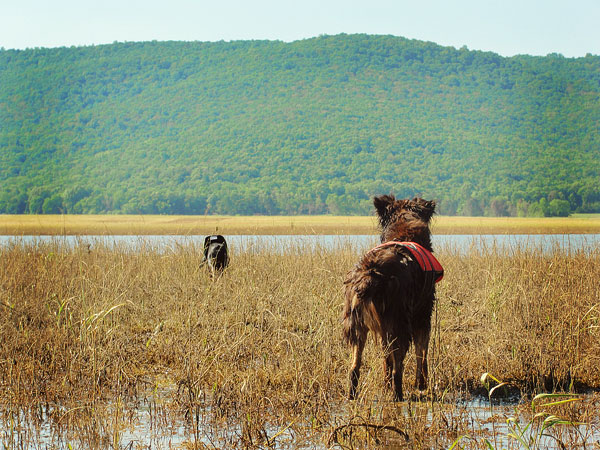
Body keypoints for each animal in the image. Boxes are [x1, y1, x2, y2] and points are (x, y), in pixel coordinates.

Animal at [340, 195, 442, 400]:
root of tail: (370, 275)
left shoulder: (383, 327)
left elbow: (385, 357)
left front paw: (385, 385)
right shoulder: (422, 315)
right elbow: (422, 354)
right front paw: (421, 384)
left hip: (356, 324)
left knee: (354, 367)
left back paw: (353, 395)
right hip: (400, 322)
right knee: (398, 368)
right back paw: (398, 395)